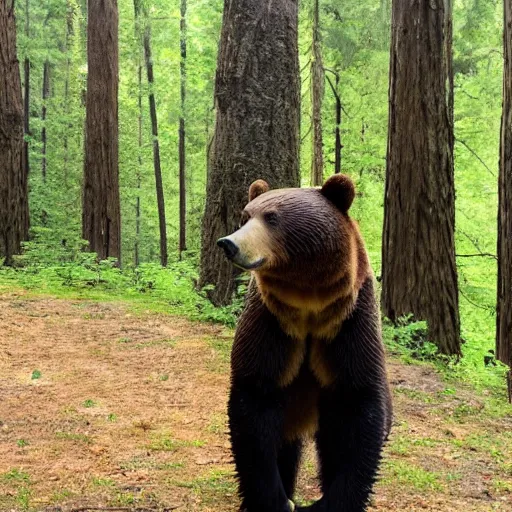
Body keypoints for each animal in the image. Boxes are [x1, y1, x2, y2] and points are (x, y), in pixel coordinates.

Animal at [216, 175, 392, 512]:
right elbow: (255, 402)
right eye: (245, 216)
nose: (228, 243)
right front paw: (275, 499)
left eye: (272, 217)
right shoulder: (273, 324)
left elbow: (357, 408)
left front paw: (333, 501)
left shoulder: (348, 325)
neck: (309, 303)